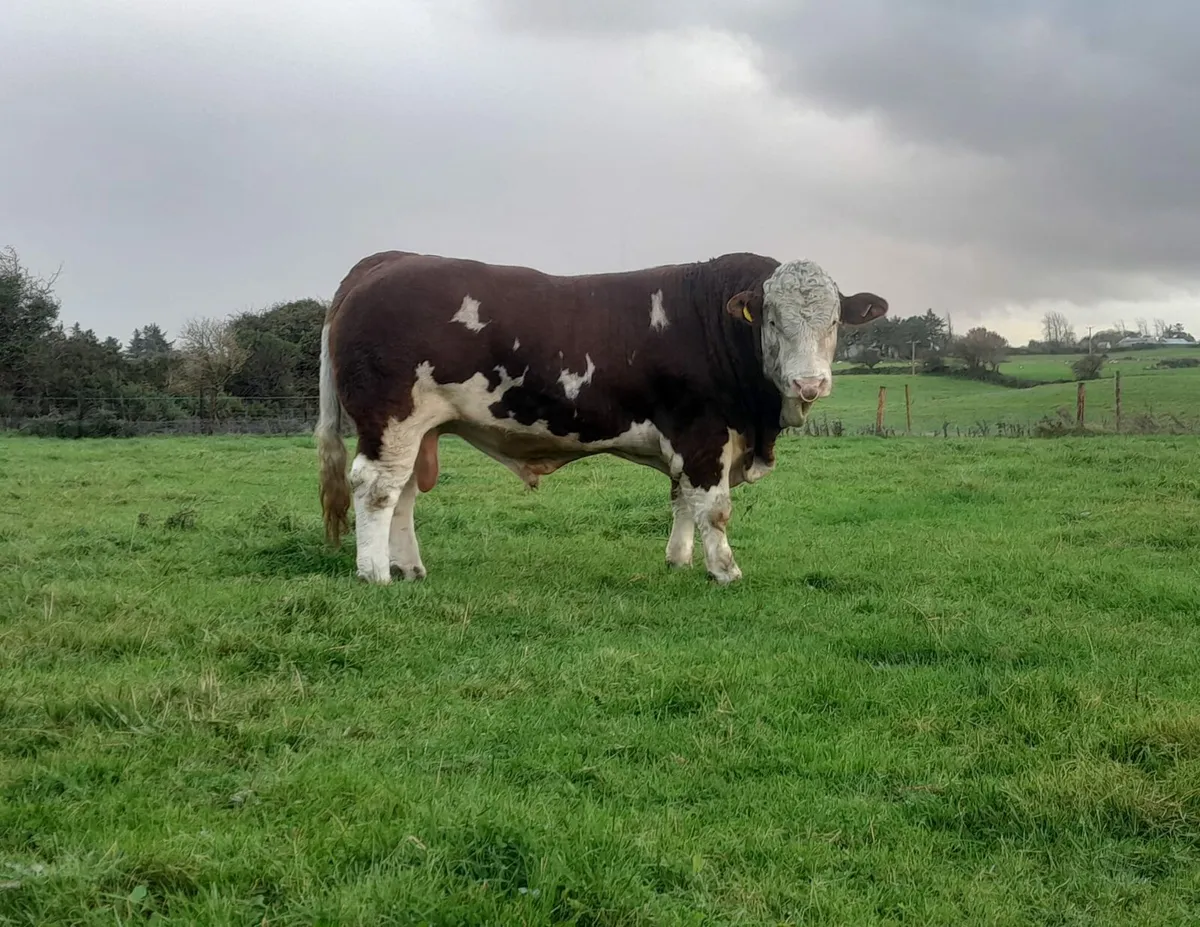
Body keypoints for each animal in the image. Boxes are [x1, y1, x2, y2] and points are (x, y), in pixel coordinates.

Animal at [315, 250, 887, 585]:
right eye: (771, 319)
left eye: (835, 320)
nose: (810, 383)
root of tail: (386, 261)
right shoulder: (703, 432)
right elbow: (714, 507)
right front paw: (725, 570)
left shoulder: (685, 438)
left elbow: (682, 500)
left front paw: (678, 560)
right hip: (390, 419)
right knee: (377, 488)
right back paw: (375, 573)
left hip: (420, 429)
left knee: (405, 492)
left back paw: (409, 567)